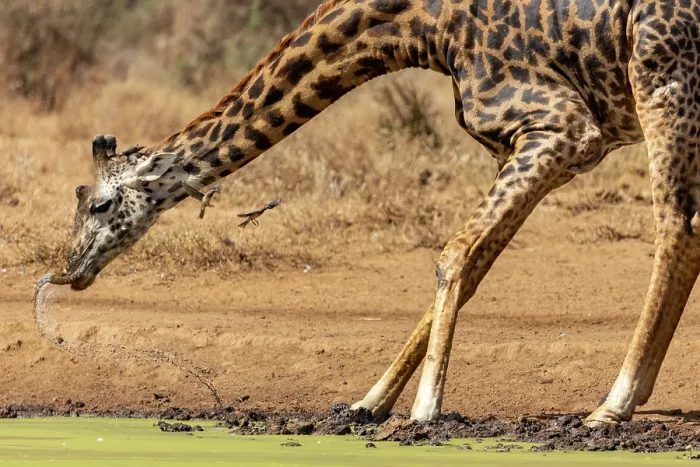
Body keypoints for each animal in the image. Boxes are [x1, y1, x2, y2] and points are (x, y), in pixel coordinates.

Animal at [50, 0, 700, 426]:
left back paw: (612, 404)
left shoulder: (562, 129)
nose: (70, 271)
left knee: (676, 228)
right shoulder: (541, 147)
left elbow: (452, 254)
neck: (426, 27)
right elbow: (471, 266)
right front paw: (369, 402)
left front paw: (424, 409)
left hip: (663, 77)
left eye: (101, 204)